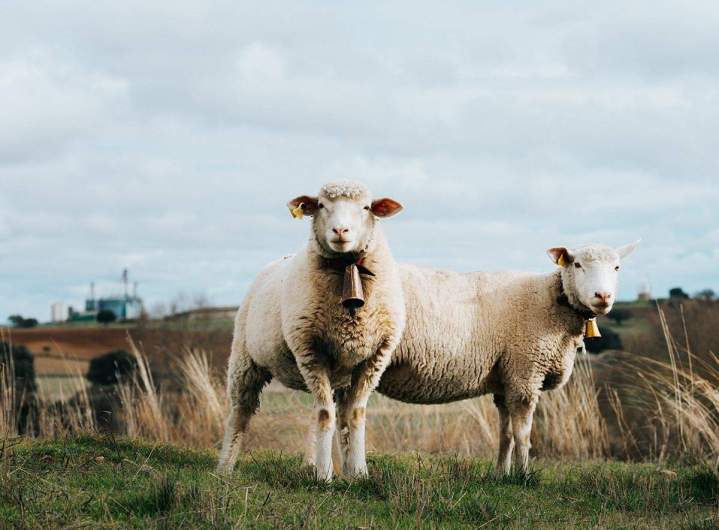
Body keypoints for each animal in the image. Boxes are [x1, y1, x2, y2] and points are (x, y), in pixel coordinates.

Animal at [217, 180, 405, 480]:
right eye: (321, 205)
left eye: (366, 207)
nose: (340, 231)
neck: (347, 269)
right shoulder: (310, 350)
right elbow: (325, 415)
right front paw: (324, 476)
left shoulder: (374, 358)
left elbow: (355, 415)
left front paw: (359, 473)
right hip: (245, 360)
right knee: (239, 413)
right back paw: (225, 467)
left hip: (337, 373)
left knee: (337, 413)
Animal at [370, 242, 638, 475]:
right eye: (578, 264)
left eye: (617, 267)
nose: (602, 296)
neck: (552, 300)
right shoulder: (525, 373)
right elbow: (523, 435)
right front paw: (524, 475)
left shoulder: (505, 380)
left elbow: (506, 434)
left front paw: (501, 474)